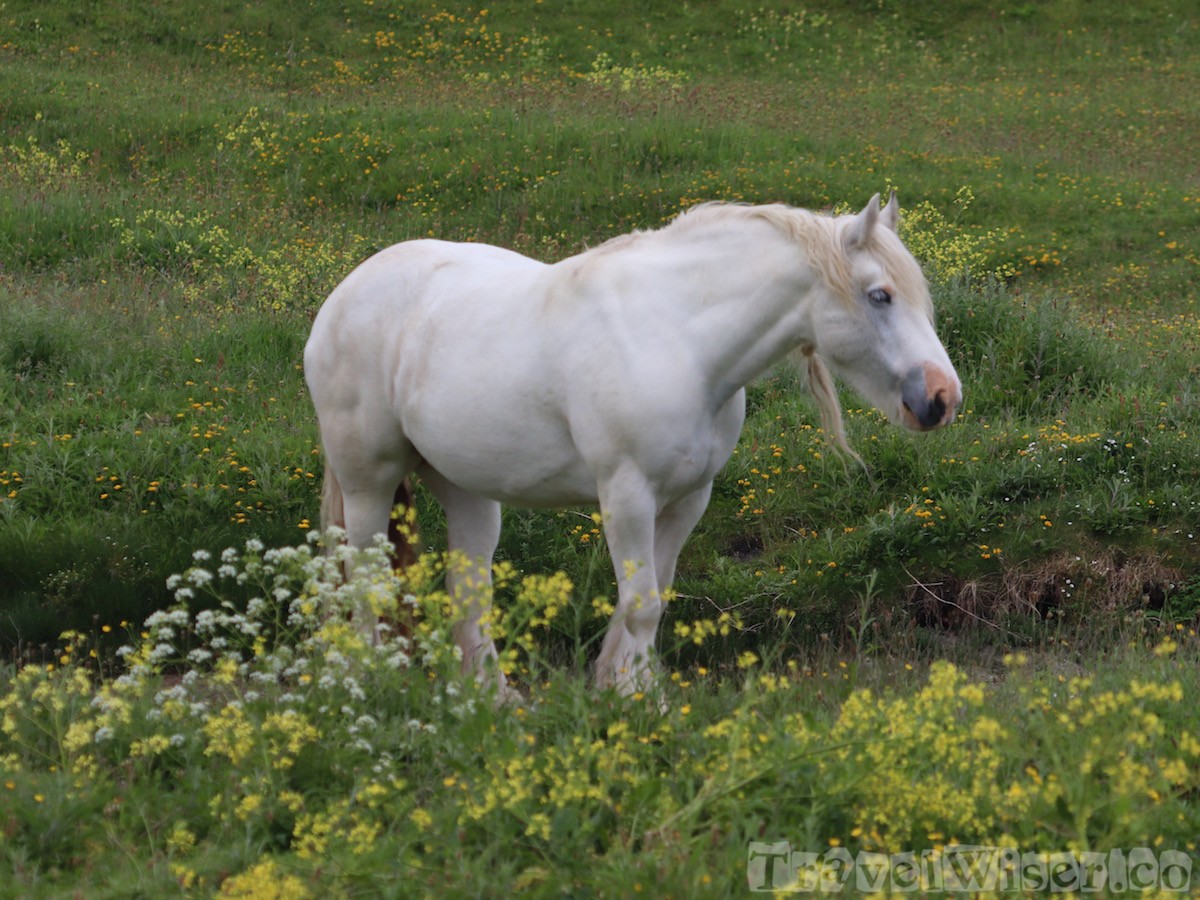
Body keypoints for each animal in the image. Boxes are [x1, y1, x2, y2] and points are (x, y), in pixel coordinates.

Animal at [304, 193, 961, 699]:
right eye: (880, 295)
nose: (942, 397)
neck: (679, 339)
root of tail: (342, 296)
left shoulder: (688, 499)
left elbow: (650, 602)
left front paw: (618, 687)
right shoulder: (627, 497)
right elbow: (641, 604)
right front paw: (644, 702)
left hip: (467, 490)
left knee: (470, 588)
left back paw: (493, 699)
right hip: (368, 483)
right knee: (365, 579)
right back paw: (369, 682)